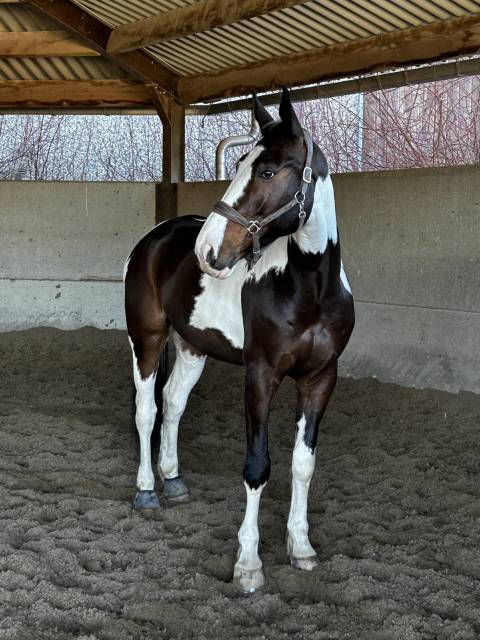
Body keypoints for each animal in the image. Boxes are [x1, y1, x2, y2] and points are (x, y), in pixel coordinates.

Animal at [124, 87, 355, 592]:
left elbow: (302, 464)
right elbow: (257, 465)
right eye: (238, 164)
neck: (309, 288)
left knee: (173, 404)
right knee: (147, 410)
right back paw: (147, 490)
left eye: (267, 171)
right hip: (146, 339)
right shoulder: (261, 376)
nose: (207, 250)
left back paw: (173, 480)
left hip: (193, 348)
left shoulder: (320, 378)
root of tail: (157, 236)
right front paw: (248, 564)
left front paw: (301, 548)